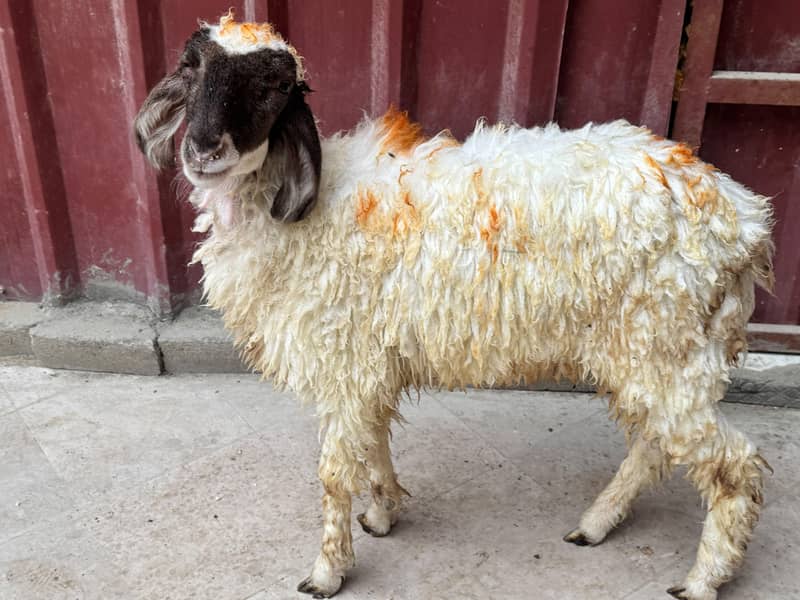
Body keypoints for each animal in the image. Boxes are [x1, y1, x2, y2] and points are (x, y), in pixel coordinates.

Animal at [133, 12, 774, 600]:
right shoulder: (371, 365)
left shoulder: (343, 362)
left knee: (733, 466)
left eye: (272, 87)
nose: (203, 149)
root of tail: (743, 221)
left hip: (665, 342)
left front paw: (327, 572)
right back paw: (595, 525)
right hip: (656, 353)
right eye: (191, 69)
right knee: (656, 446)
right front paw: (384, 513)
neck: (303, 216)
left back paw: (702, 580)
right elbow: (375, 444)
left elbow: (337, 473)